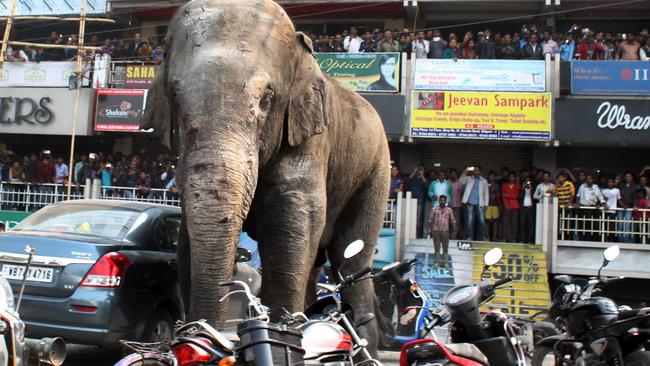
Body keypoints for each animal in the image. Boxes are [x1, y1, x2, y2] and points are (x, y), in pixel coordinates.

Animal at [140, 0, 388, 348]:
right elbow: (187, 240)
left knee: (350, 260)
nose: (204, 333)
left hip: (376, 172)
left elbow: (292, 222)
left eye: (267, 99)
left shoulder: (310, 138)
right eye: (175, 98)